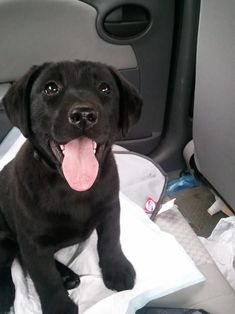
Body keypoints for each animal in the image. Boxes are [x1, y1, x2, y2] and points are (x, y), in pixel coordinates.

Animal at [0, 60, 143, 312]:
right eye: (50, 88)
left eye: (105, 88)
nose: (83, 115)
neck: (71, 188)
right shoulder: (33, 241)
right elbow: (45, 277)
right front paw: (59, 306)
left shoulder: (111, 208)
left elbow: (110, 240)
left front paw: (117, 269)